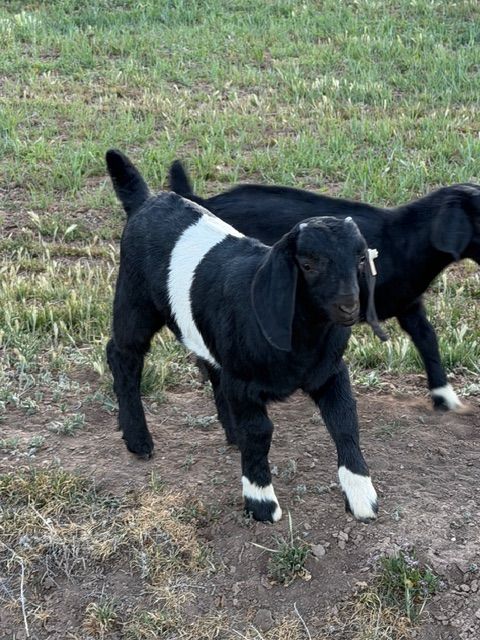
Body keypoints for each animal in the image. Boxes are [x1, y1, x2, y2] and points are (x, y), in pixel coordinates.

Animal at [106, 149, 382, 523]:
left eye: (359, 260)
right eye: (308, 264)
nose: (349, 306)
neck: (301, 342)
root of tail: (147, 200)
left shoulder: (330, 372)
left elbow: (344, 421)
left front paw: (361, 496)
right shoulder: (244, 382)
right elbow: (260, 432)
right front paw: (261, 502)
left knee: (208, 364)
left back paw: (228, 429)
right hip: (134, 301)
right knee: (123, 355)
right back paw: (138, 439)